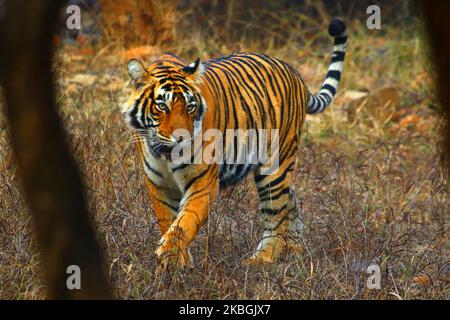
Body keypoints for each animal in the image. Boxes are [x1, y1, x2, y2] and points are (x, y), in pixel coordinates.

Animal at [121, 18, 346, 268]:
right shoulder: (158, 184)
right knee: (291, 201)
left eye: (189, 107)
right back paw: (295, 249)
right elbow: (168, 220)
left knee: (276, 214)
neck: (165, 155)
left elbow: (185, 222)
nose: (182, 138)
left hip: (274, 166)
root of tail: (295, 72)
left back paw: (262, 258)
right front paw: (178, 261)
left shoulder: (203, 183)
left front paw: (170, 255)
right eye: (162, 106)